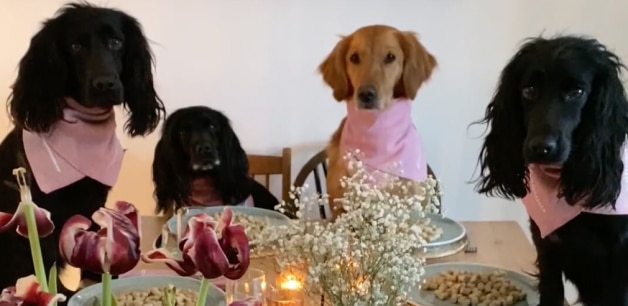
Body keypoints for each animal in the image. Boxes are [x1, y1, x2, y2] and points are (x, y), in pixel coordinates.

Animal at [0, 2, 164, 294]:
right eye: (76, 46)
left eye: (116, 42)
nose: (105, 84)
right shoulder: (38, 214)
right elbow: (45, 261)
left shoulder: (94, 201)